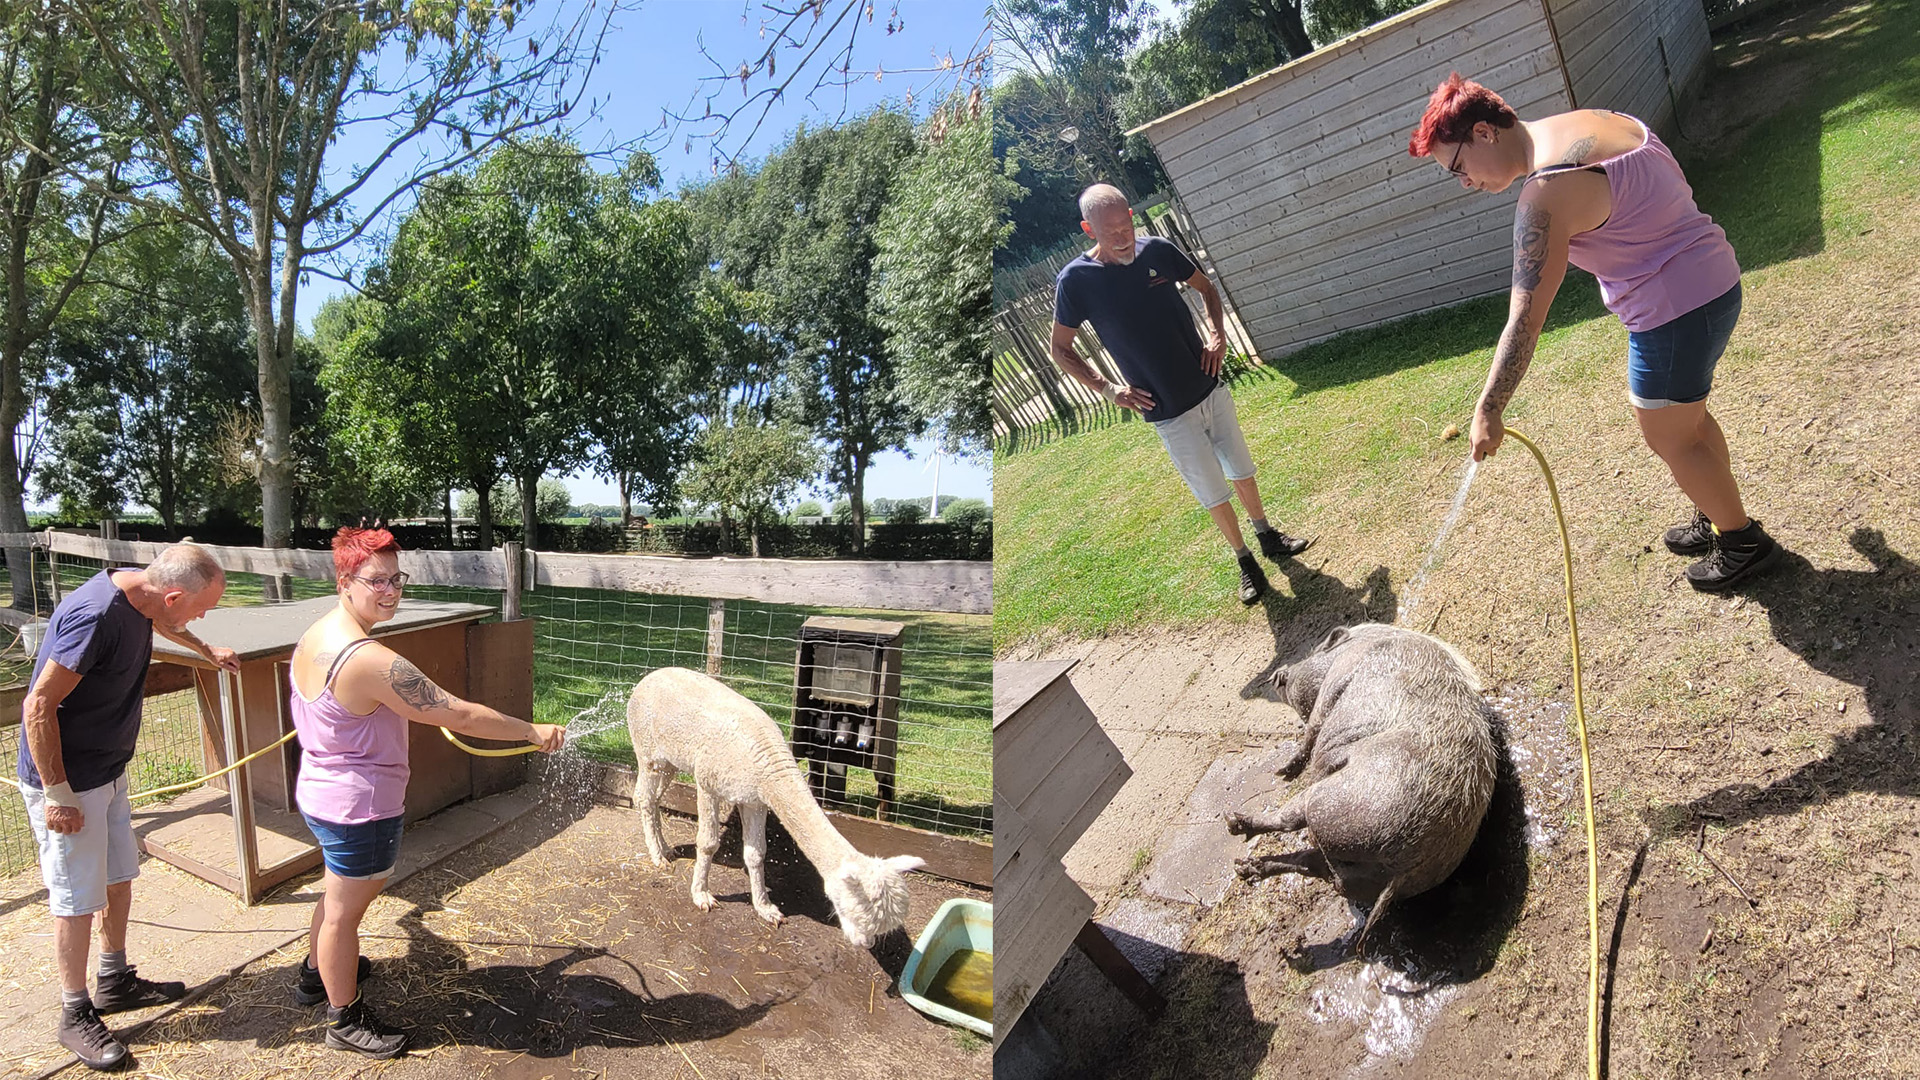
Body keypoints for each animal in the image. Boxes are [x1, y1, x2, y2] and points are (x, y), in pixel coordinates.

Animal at [1228, 622, 1497, 941]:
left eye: (1316, 651)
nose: (1279, 673)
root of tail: (1406, 863)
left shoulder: (1334, 684)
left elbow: (1312, 731)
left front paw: (1283, 771)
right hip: (1351, 867)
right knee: (1314, 866)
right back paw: (1246, 869)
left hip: (1323, 803)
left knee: (1289, 822)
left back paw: (1235, 824)